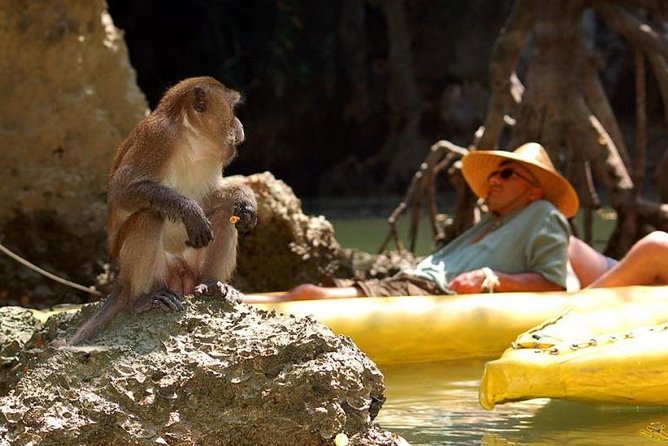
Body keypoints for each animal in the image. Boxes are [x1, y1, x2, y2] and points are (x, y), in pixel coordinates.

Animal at [67, 76, 256, 346]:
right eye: (232, 108)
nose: (239, 125)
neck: (192, 137)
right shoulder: (159, 139)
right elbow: (122, 190)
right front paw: (190, 211)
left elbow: (210, 198)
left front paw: (244, 198)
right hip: (153, 272)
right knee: (149, 215)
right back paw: (139, 300)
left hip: (191, 267)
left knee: (226, 215)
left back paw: (211, 284)